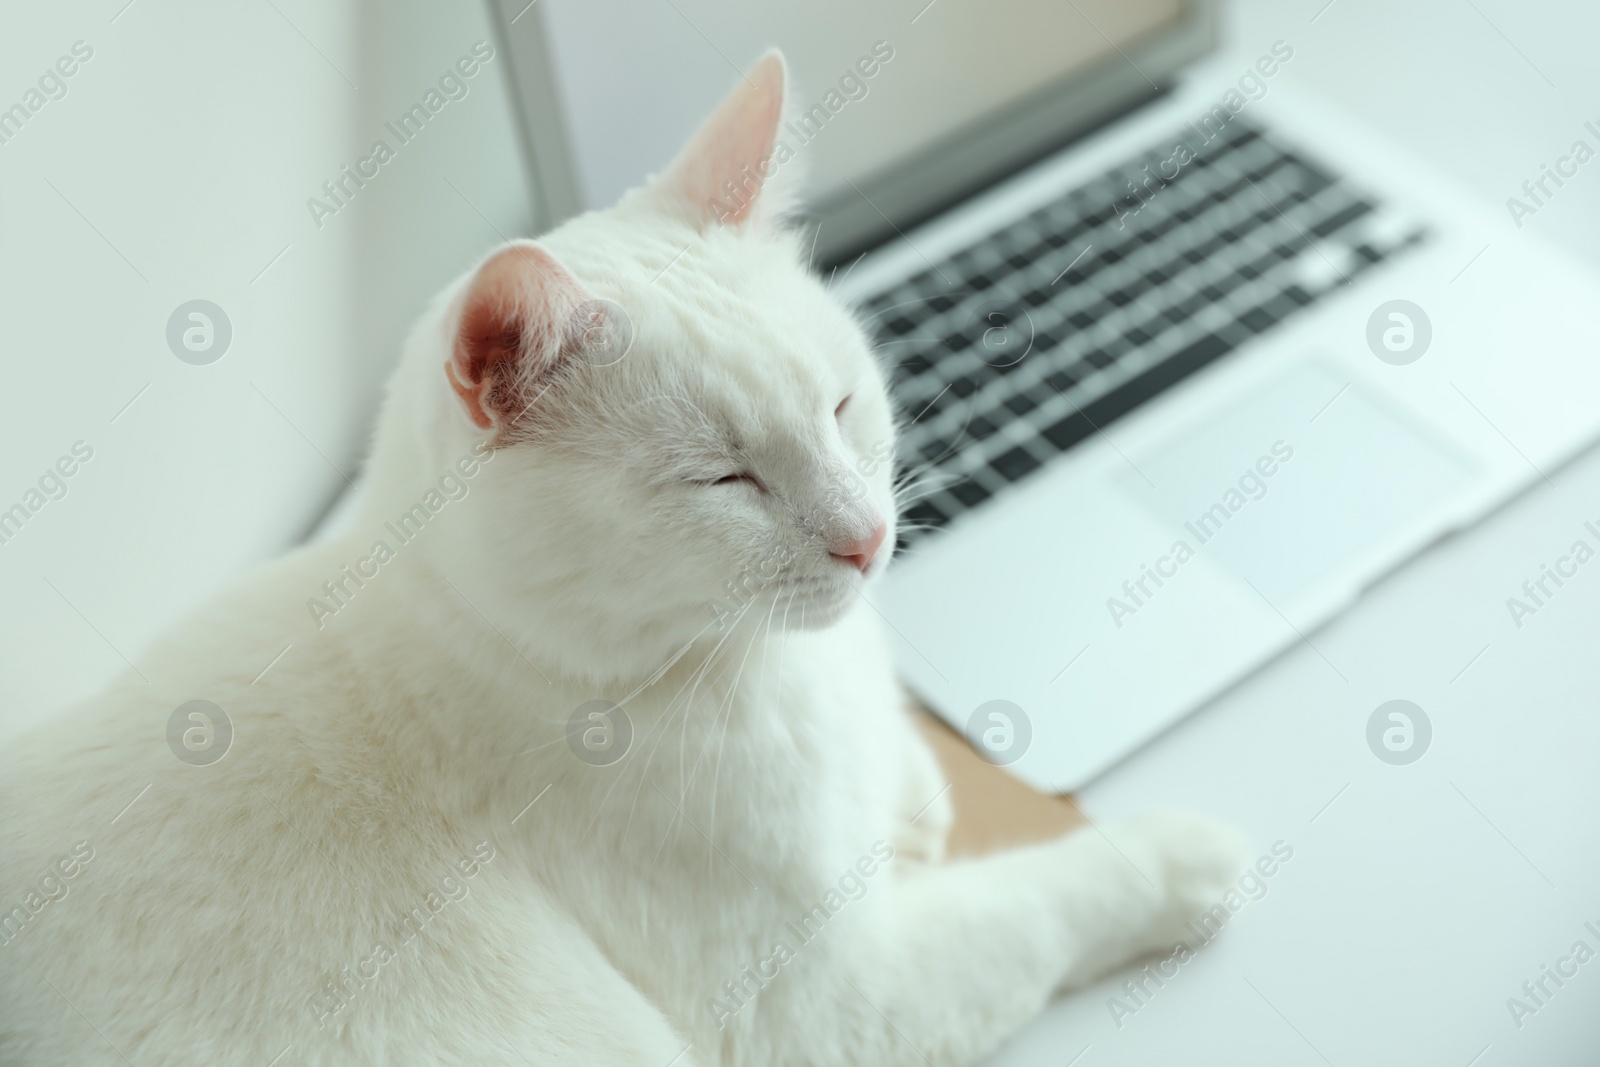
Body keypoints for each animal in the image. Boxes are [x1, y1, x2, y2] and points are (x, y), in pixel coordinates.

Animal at [0, 49, 1241, 1067]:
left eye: (842, 405)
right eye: (725, 479)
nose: (868, 536)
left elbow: (901, 774)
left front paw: (912, 802)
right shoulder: (829, 1000)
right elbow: (1034, 903)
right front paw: (1174, 860)